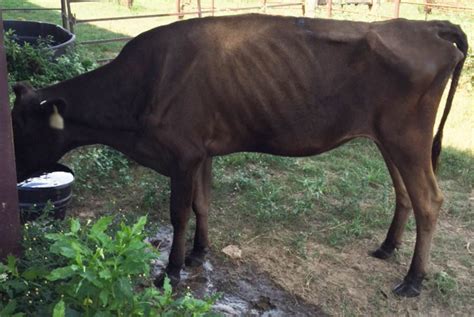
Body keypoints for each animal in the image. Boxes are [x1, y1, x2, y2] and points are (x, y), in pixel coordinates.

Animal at [11, 14, 466, 296]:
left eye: (21, 126)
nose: (11, 171)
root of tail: (429, 27)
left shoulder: (182, 154)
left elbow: (178, 212)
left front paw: (171, 270)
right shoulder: (202, 151)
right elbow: (203, 203)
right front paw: (199, 253)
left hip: (406, 137)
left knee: (429, 200)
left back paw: (413, 280)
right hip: (389, 138)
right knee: (404, 193)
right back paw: (387, 248)